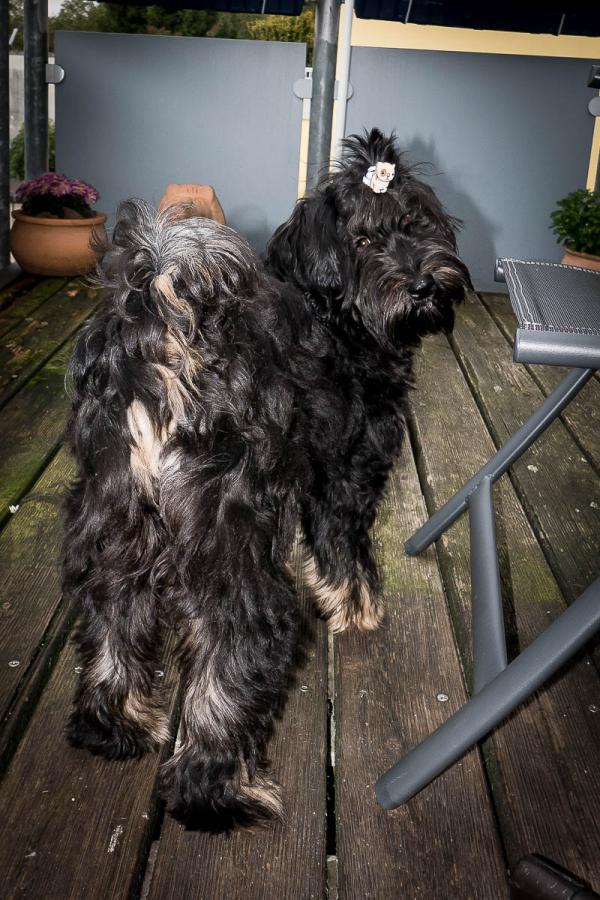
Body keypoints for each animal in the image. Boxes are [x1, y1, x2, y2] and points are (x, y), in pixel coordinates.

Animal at [63, 128, 471, 832]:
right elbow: (345, 547)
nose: (424, 283)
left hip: (117, 508)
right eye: (364, 239)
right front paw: (357, 609)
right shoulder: (348, 468)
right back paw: (217, 792)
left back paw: (114, 725)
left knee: (112, 604)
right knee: (233, 637)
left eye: (417, 225)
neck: (340, 318)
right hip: (228, 526)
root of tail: (163, 340)